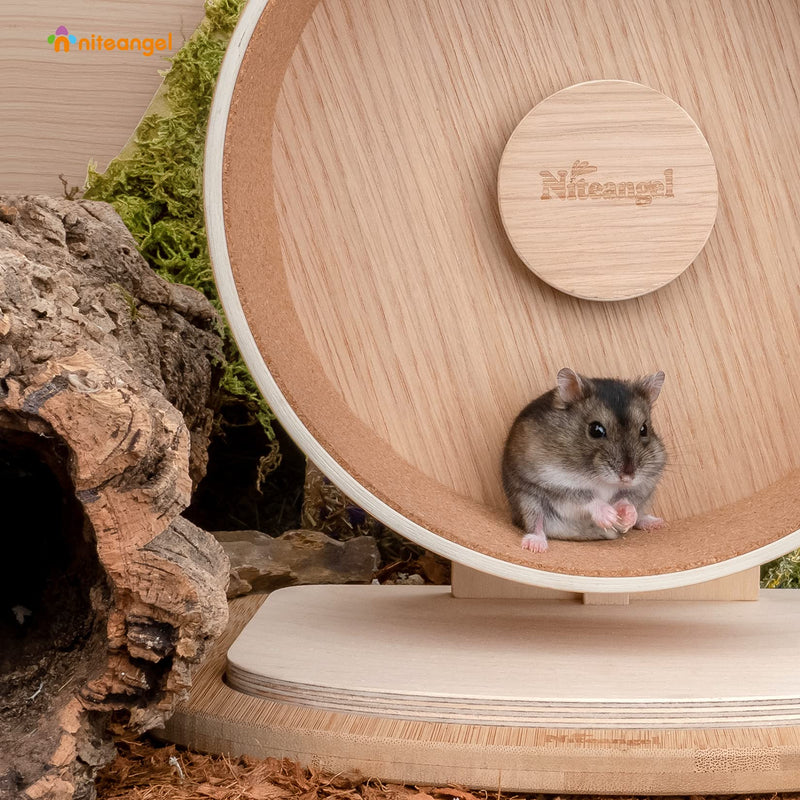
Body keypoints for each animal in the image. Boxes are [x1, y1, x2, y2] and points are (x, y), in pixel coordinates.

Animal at [502, 368, 667, 553]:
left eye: (644, 429)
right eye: (595, 430)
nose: (628, 477)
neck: (602, 480)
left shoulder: (645, 485)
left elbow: (627, 498)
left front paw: (626, 516)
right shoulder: (556, 484)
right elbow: (587, 499)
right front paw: (610, 517)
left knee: (641, 515)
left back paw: (655, 523)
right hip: (528, 500)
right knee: (536, 523)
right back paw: (535, 545)